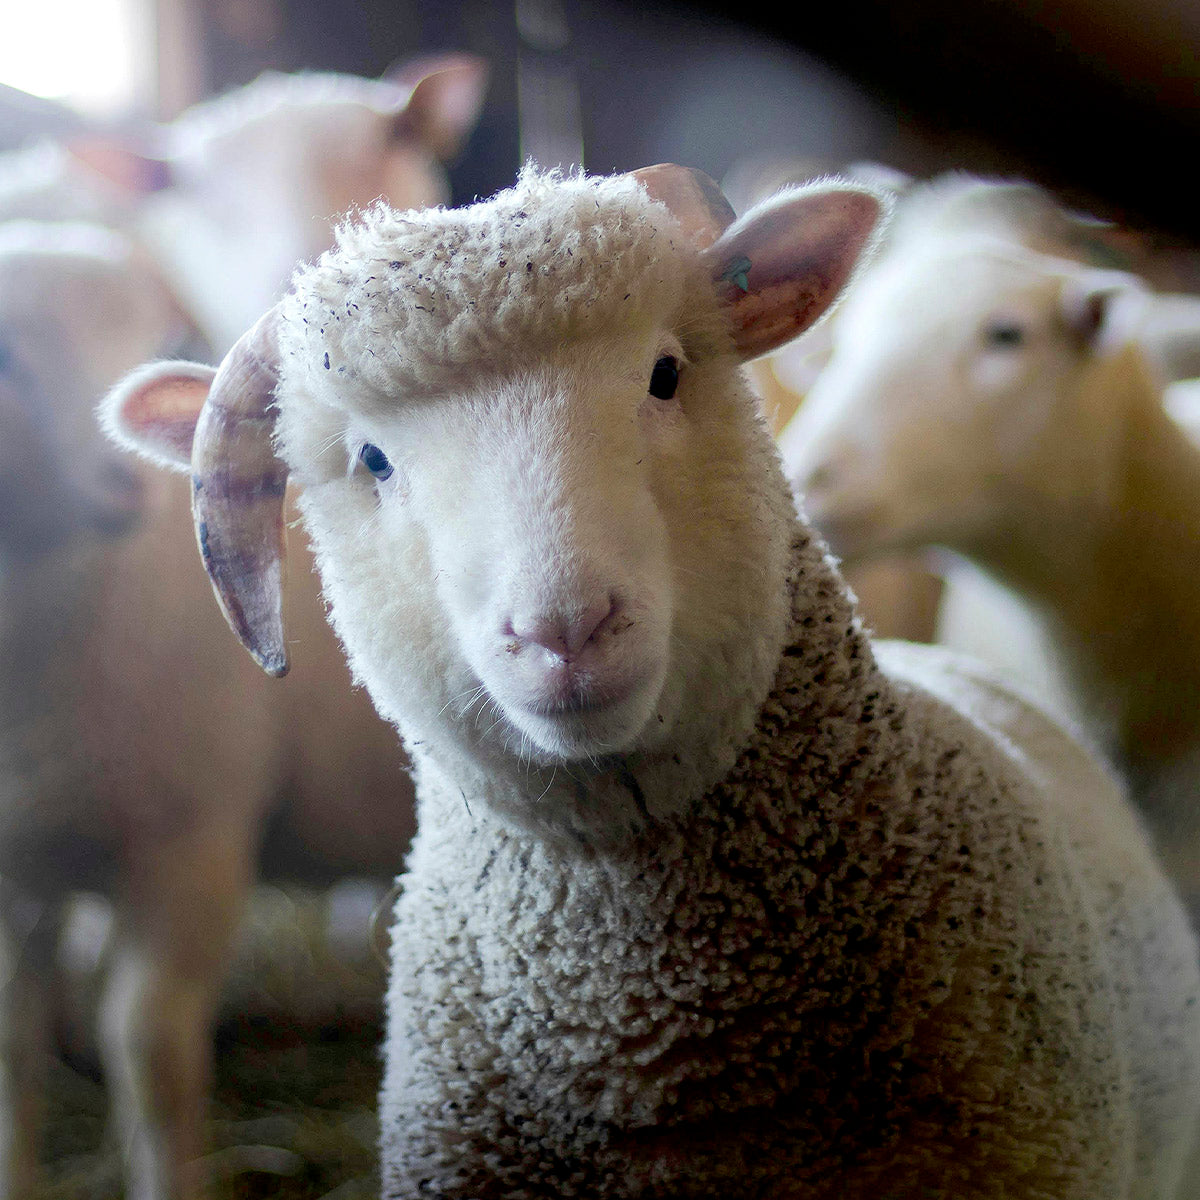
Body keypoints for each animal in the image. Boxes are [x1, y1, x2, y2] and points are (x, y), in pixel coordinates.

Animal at [0, 222, 417, 1200]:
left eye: (155, 337)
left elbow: (148, 1052)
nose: (124, 483)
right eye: (8, 357)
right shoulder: (19, 867)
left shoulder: (194, 842)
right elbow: (10, 1055)